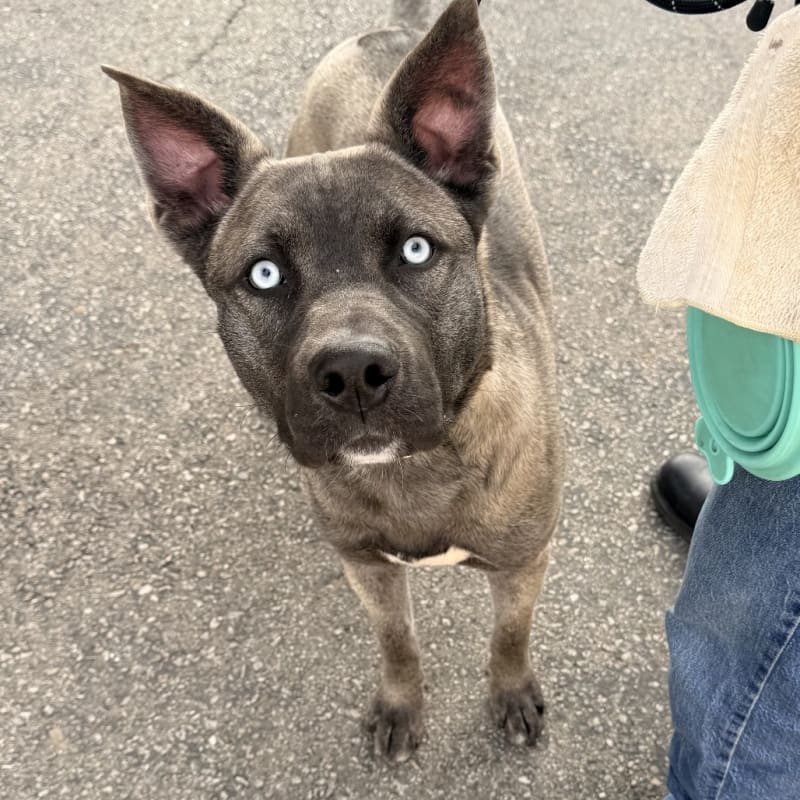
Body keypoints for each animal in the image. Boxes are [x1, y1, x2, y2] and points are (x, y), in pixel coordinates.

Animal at [104, 0, 564, 763]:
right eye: (264, 275)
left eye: (416, 250)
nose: (352, 372)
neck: (415, 472)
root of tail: (394, 30)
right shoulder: (368, 568)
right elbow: (397, 640)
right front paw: (402, 704)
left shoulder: (523, 564)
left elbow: (510, 634)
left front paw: (511, 692)